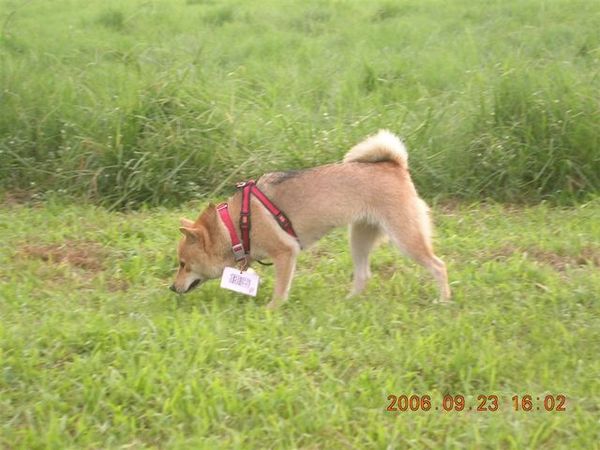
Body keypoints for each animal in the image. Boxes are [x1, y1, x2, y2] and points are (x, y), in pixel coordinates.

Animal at [170, 128, 450, 308]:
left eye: (183, 264)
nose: (172, 288)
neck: (235, 226)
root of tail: (394, 165)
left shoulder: (285, 253)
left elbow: (280, 290)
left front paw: (271, 310)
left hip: (405, 238)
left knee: (438, 266)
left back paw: (444, 301)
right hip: (359, 239)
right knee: (363, 275)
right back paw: (349, 302)